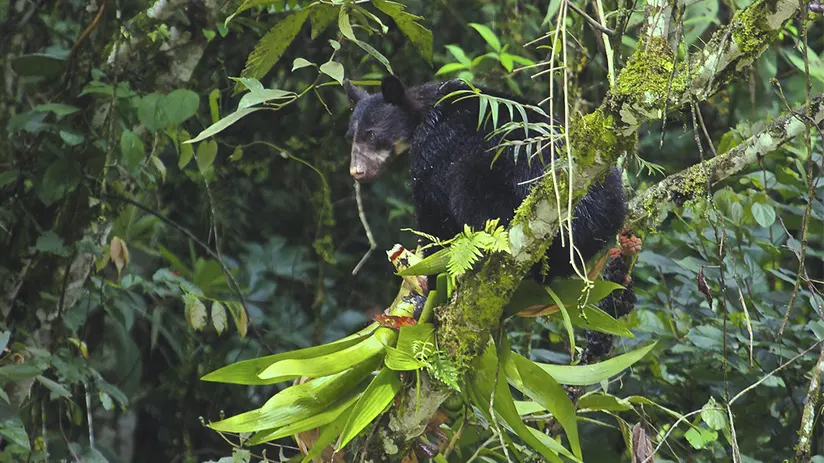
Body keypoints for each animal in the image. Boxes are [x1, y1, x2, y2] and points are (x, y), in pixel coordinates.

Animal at [344, 75, 625, 281]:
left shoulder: (435, 148)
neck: (426, 110)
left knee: (469, 190)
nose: (357, 171)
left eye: (371, 134)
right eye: (350, 136)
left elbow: (433, 211)